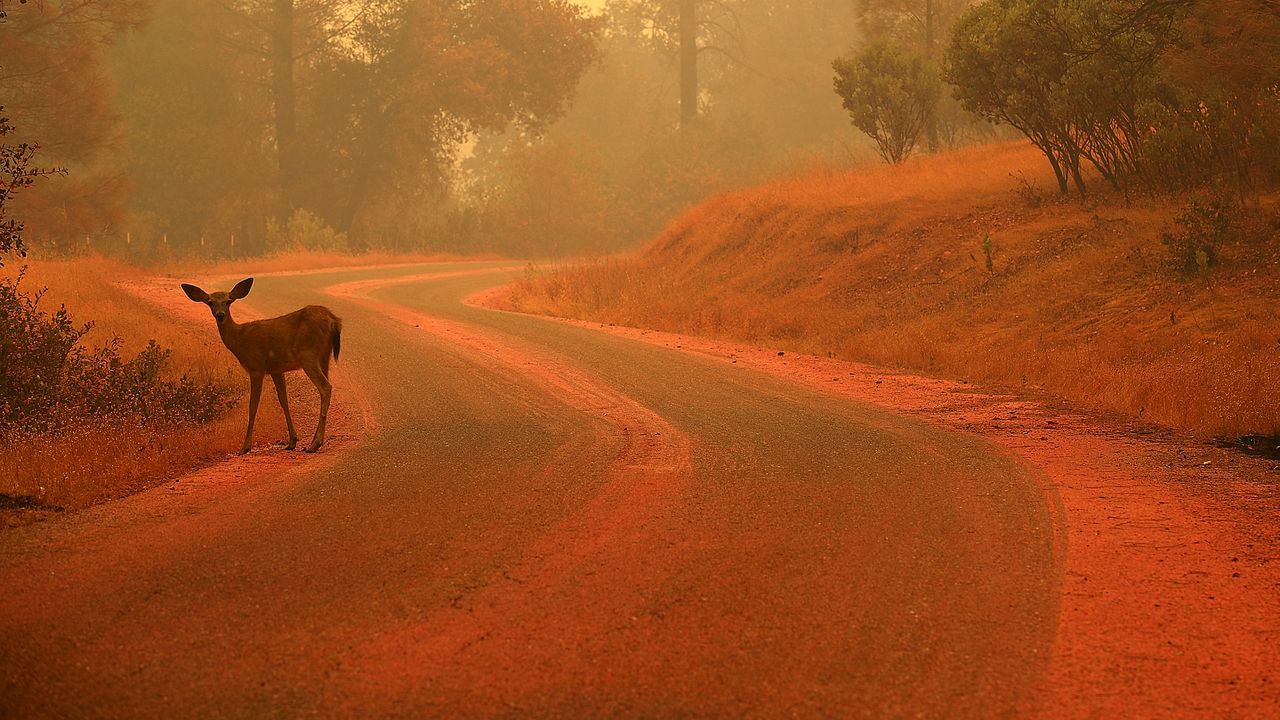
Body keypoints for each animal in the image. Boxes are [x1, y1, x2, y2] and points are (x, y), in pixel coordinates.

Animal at [180, 278, 343, 450]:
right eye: (210, 302)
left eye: (228, 301)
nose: (220, 315)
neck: (239, 339)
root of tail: (334, 320)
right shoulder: (276, 369)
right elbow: (283, 400)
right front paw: (292, 441)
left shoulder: (256, 366)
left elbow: (253, 406)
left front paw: (245, 446)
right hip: (324, 357)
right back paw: (315, 441)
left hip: (308, 356)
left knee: (325, 387)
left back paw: (315, 443)